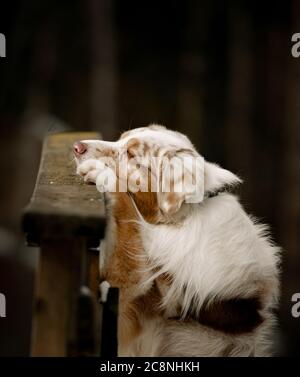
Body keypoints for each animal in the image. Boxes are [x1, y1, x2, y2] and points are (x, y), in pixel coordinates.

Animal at [74, 124, 280, 356]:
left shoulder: (138, 285)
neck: (186, 217)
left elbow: (127, 208)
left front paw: (101, 172)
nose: (77, 146)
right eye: (120, 139)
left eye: (131, 154)